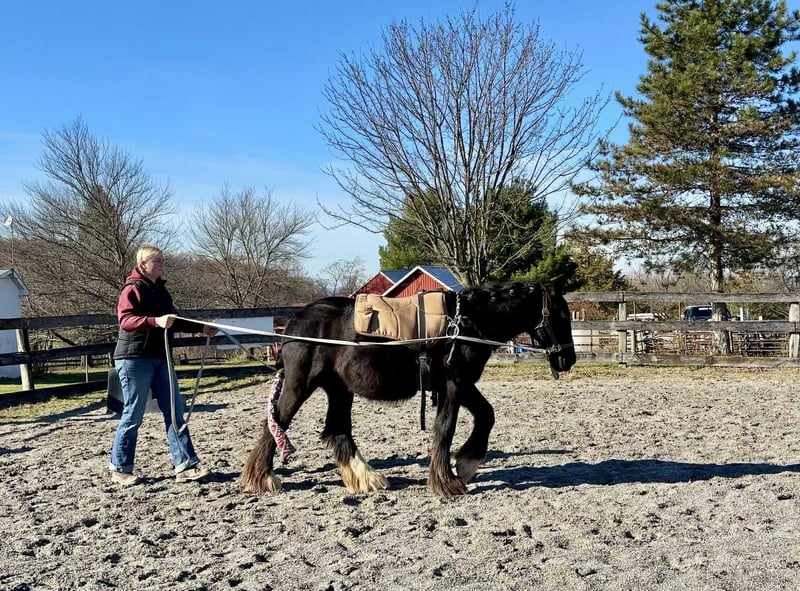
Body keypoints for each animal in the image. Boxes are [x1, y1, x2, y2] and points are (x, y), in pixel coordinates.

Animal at [240, 281, 576, 497]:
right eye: (561, 314)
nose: (568, 359)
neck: (466, 324)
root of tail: (293, 325)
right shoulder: (454, 384)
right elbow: (446, 429)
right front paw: (446, 483)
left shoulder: (460, 384)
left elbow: (486, 415)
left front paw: (465, 464)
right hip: (301, 385)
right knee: (277, 421)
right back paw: (262, 477)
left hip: (339, 388)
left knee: (337, 430)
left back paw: (366, 478)